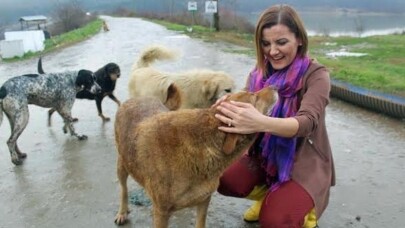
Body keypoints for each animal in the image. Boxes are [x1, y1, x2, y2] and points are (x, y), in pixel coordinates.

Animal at [113, 86, 278, 227]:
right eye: (254, 97)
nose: (275, 86)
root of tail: (135, 99)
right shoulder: (162, 212)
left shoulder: (204, 200)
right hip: (122, 165)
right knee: (123, 189)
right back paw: (122, 211)